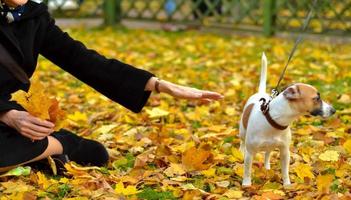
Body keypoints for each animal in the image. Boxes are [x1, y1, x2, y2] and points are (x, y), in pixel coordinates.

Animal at [239, 52, 336, 186]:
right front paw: (246, 184)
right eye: (316, 98)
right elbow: (247, 170)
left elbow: (285, 171)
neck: (273, 119)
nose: (333, 110)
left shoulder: (285, 151)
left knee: (268, 153)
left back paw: (267, 167)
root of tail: (260, 93)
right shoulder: (250, 152)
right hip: (242, 133)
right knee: (242, 143)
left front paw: (287, 185)